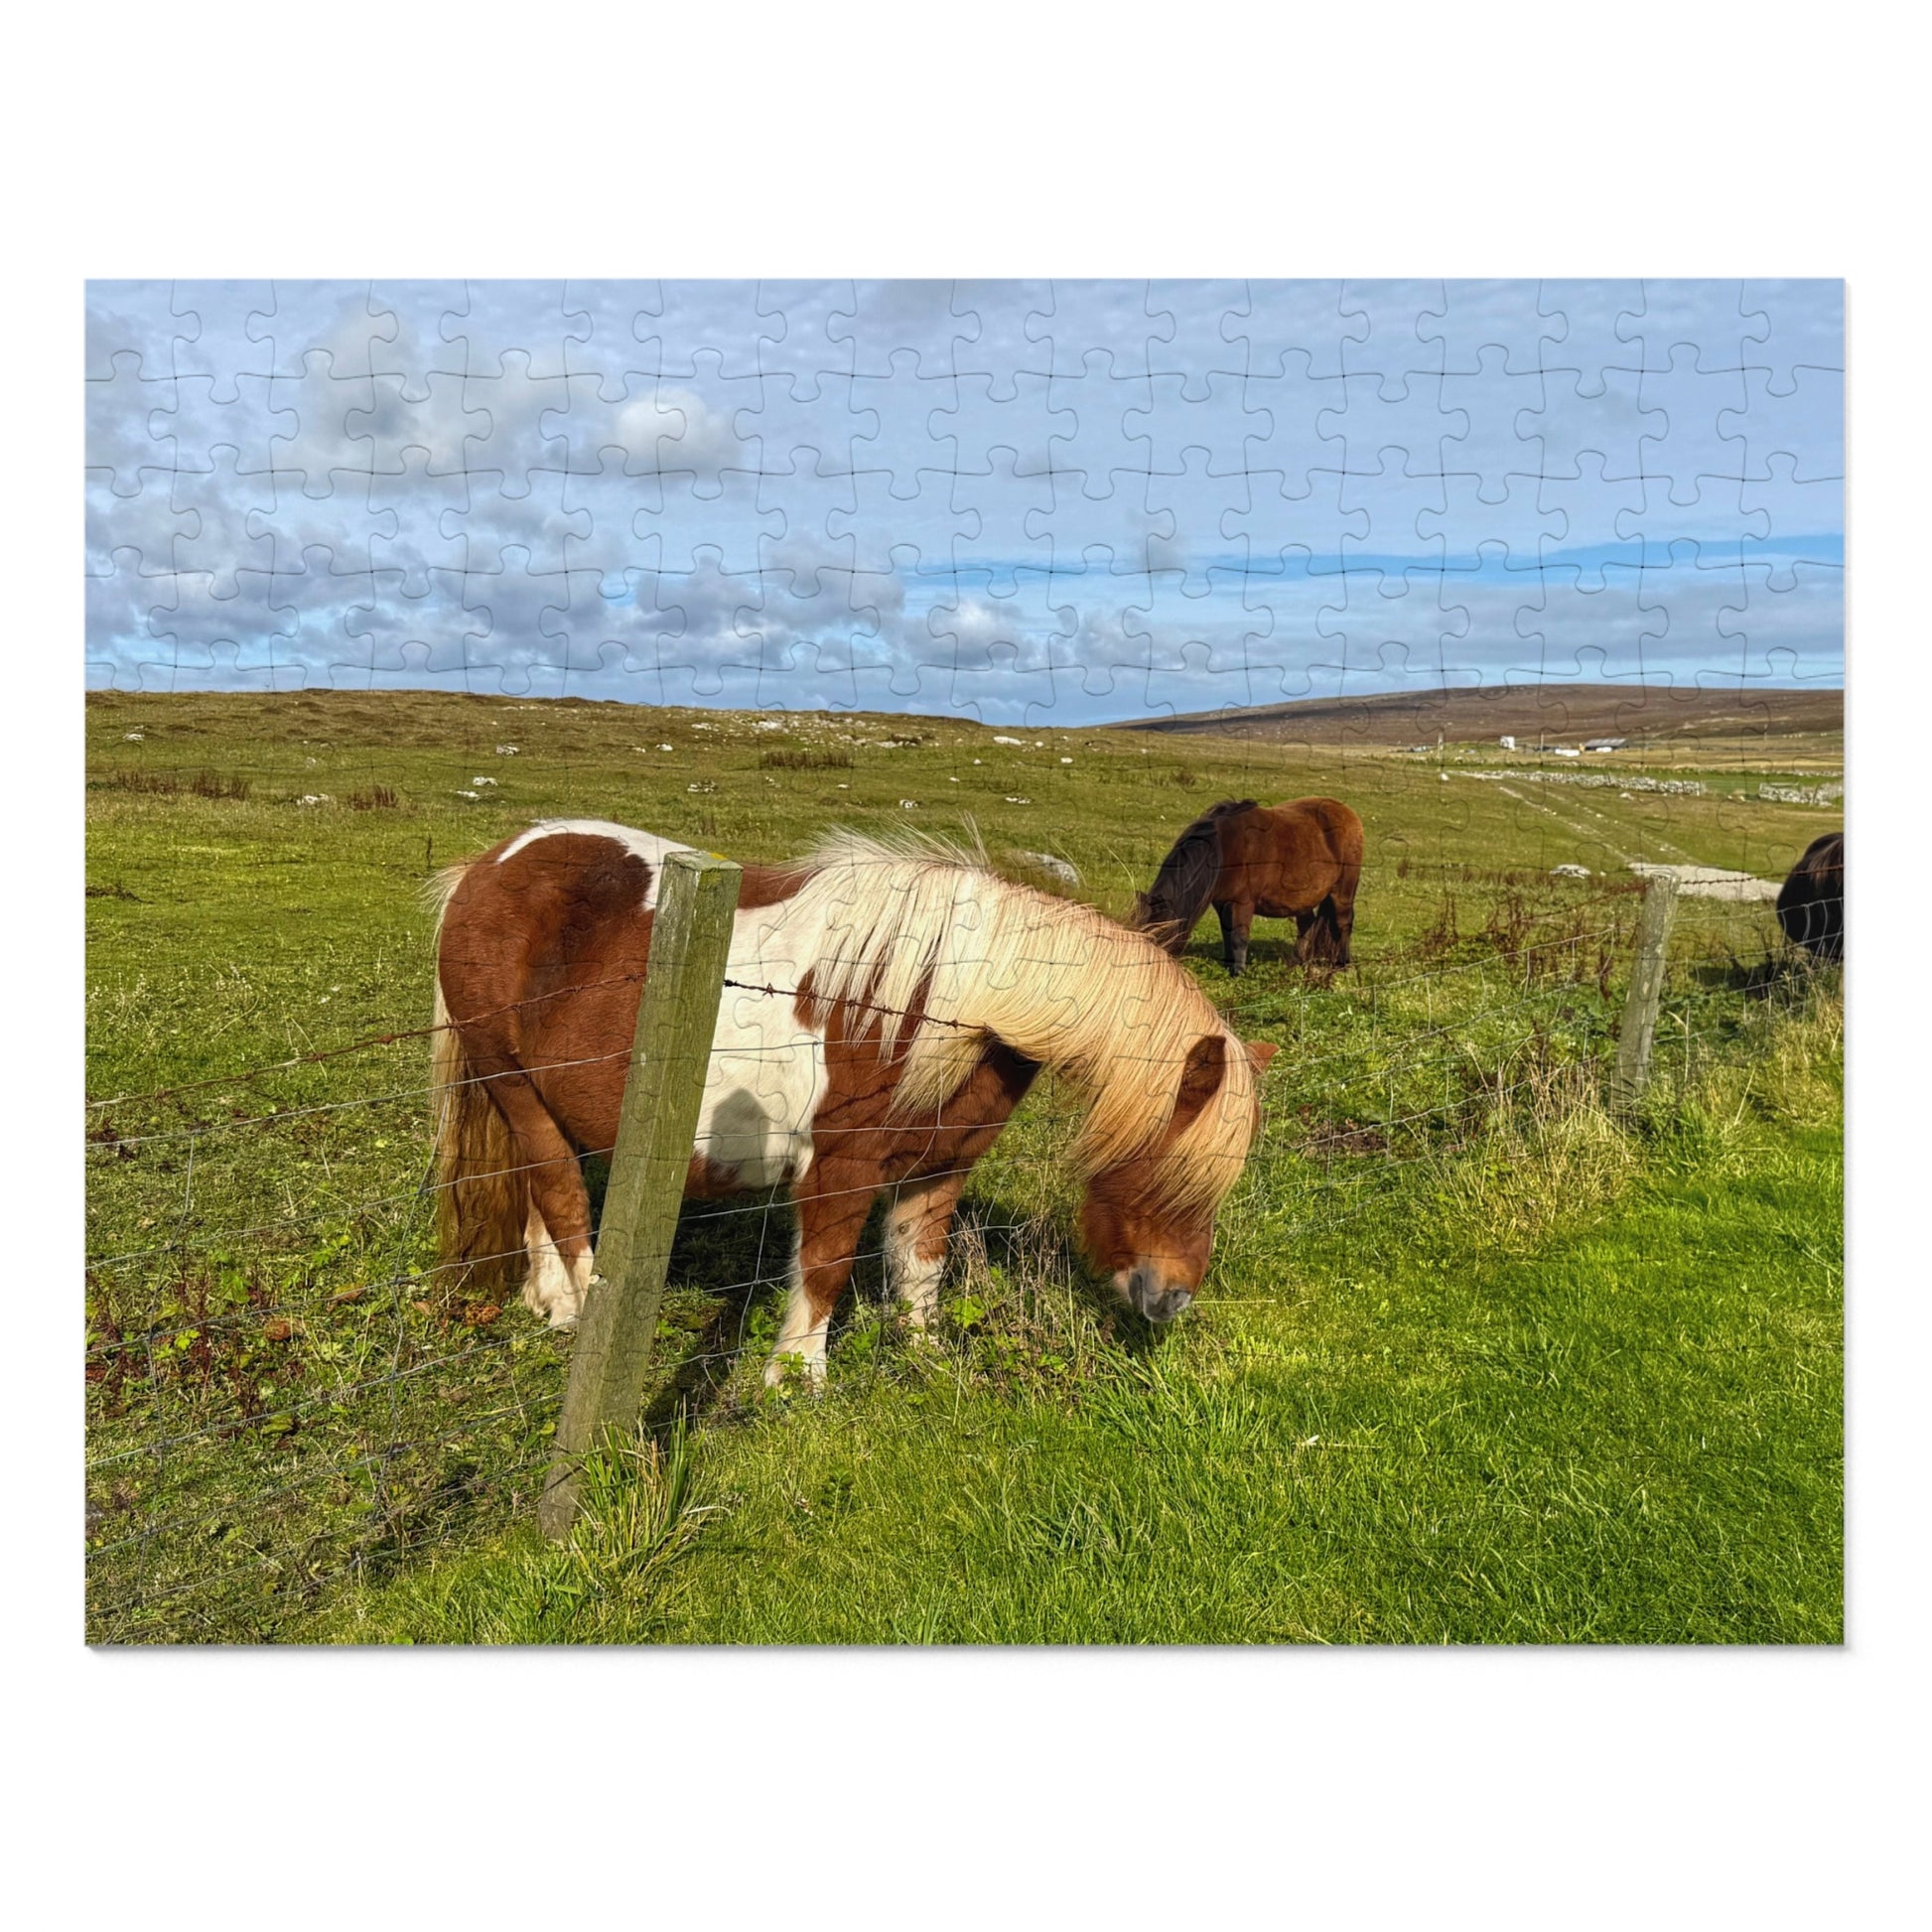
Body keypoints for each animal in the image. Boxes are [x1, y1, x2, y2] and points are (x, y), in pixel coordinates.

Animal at [428, 819, 1278, 1387]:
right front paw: (795, 1383)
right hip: (513, 1087)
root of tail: (489, 865)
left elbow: (920, 1267)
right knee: (563, 1199)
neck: (955, 1003)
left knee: (537, 1195)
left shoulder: (939, 1168)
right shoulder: (840, 1168)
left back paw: (548, 1302)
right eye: (1162, 1164)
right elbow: (826, 1270)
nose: (1172, 1300)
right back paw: (578, 1315)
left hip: (539, 1103)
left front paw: (923, 1355)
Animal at [1130, 797, 1364, 976]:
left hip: (1342, 892)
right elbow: (1227, 933)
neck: (1224, 848)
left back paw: (1342, 964)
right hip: (1303, 899)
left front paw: (1239, 972)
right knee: (1307, 925)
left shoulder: (1243, 902)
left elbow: (1239, 937)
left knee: (1344, 923)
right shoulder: (1222, 903)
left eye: (1158, 936)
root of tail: (1348, 813)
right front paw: (1229, 965)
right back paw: (1297, 962)